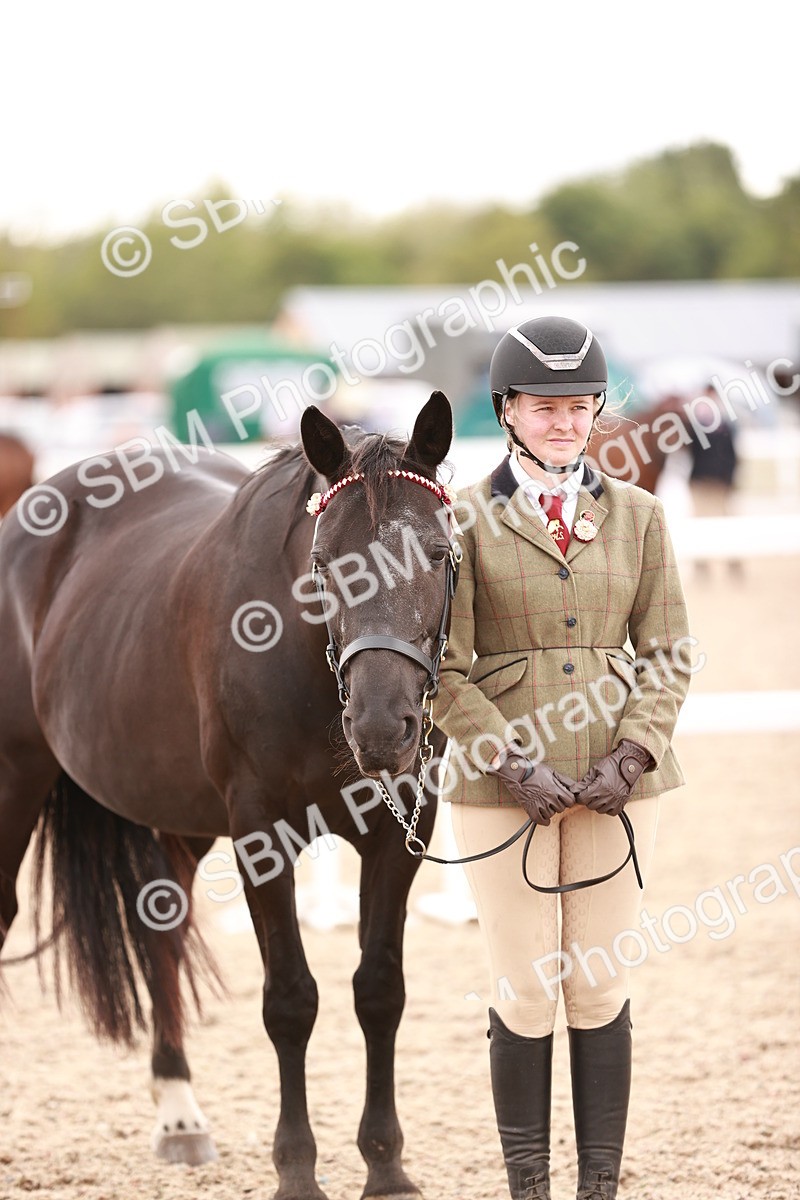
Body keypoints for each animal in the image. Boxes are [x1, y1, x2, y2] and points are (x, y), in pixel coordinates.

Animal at [0, 391, 458, 1200]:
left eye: (436, 556)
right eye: (323, 564)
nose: (381, 725)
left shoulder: (402, 831)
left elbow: (380, 990)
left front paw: (386, 1166)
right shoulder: (259, 833)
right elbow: (290, 1001)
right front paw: (298, 1170)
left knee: (161, 933)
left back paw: (179, 1116)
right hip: (14, 775)